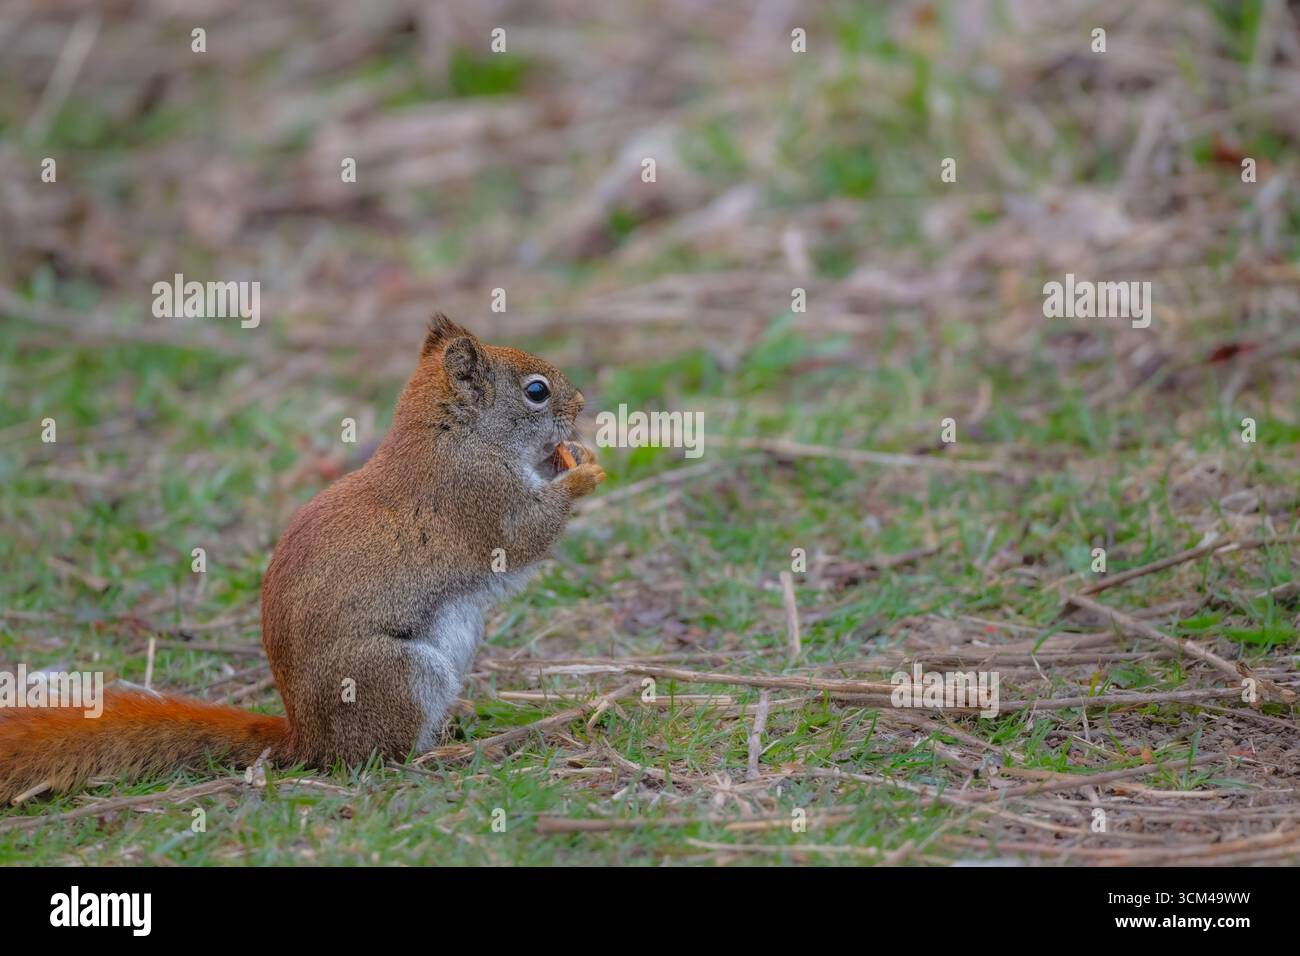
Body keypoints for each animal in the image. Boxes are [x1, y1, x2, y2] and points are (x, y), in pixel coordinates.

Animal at [0, 314, 605, 804]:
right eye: (536, 392)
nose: (581, 403)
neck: (454, 436)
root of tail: (305, 736)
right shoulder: (478, 499)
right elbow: (525, 534)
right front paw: (583, 474)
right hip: (393, 675)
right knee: (375, 753)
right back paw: (434, 755)